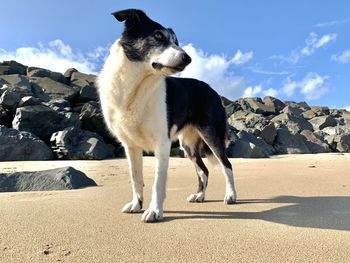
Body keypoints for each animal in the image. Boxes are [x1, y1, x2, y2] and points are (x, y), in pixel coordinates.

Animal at [97, 8, 237, 223]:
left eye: (176, 41)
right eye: (158, 36)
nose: (188, 58)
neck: (136, 85)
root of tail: (211, 89)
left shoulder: (161, 144)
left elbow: (157, 183)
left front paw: (154, 211)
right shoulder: (130, 146)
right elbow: (135, 178)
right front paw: (137, 205)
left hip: (211, 135)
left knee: (226, 165)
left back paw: (230, 195)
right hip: (188, 145)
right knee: (203, 170)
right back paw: (199, 196)